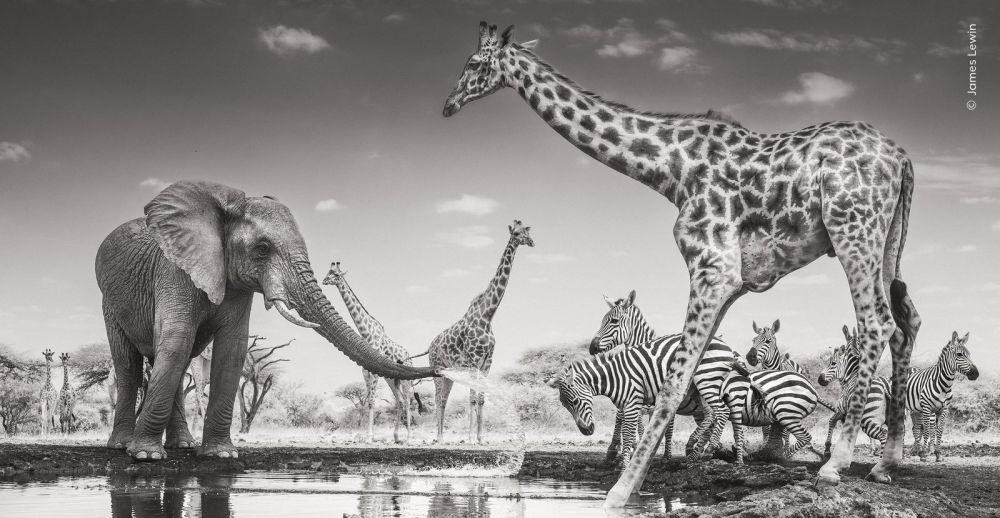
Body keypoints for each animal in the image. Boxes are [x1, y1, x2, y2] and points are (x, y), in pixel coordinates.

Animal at [323, 261, 424, 443]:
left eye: (336, 275)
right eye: (329, 272)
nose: (324, 280)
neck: (367, 333)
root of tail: (409, 357)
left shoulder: (374, 372)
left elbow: (371, 401)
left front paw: (370, 436)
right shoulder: (365, 370)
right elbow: (369, 400)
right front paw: (367, 435)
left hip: (405, 379)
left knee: (407, 400)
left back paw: (408, 437)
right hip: (392, 379)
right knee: (399, 400)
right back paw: (396, 437)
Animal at [425, 220, 534, 443]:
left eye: (527, 231)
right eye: (516, 233)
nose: (531, 241)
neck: (487, 315)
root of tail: (430, 345)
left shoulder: (487, 362)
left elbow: (481, 398)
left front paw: (481, 437)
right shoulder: (474, 361)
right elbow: (473, 398)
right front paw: (469, 438)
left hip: (449, 374)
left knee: (443, 400)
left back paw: (442, 437)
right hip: (437, 369)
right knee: (438, 399)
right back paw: (439, 438)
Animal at [443, 23, 920, 505]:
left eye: (474, 63)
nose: (449, 104)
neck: (671, 170)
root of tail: (901, 157)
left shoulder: (712, 268)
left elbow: (674, 384)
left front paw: (620, 491)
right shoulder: (729, 282)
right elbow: (685, 378)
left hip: (852, 229)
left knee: (877, 322)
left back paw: (835, 466)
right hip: (887, 241)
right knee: (907, 321)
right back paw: (884, 465)